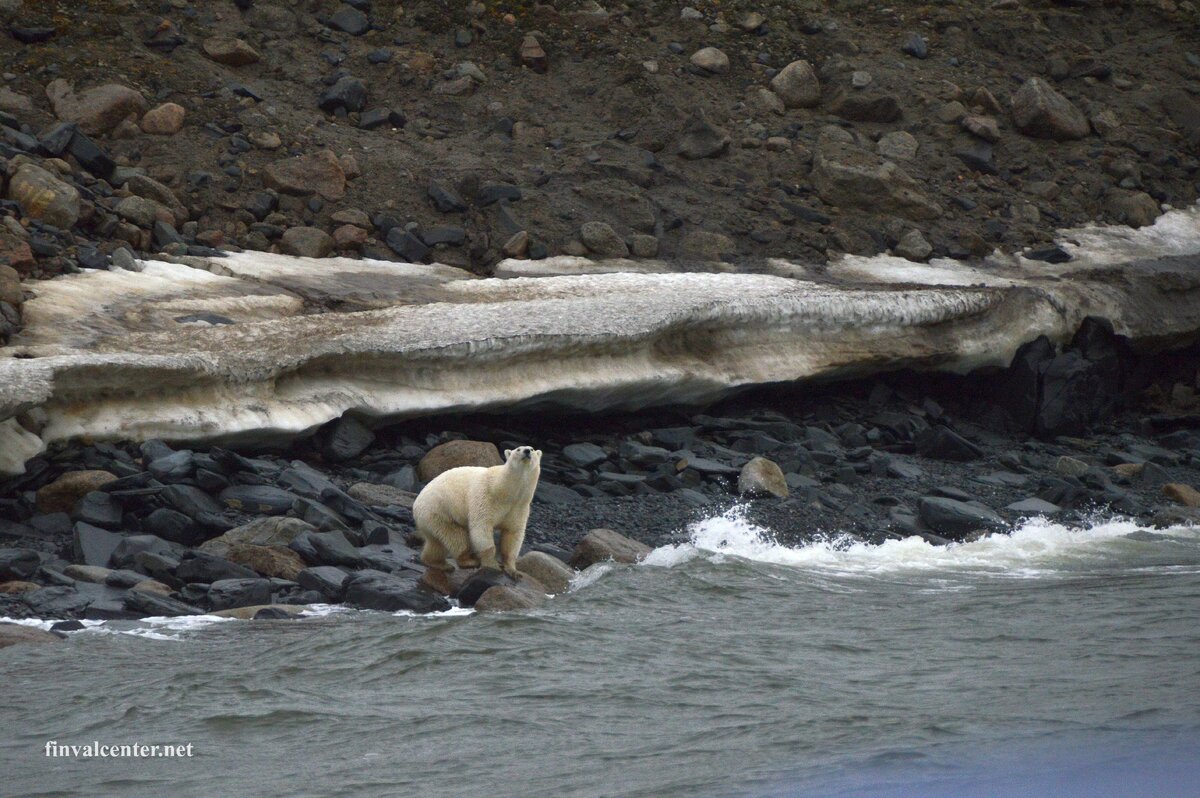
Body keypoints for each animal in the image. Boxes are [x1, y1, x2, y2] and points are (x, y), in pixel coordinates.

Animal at [412, 445, 541, 578]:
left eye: (532, 449)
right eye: (518, 449)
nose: (527, 451)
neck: (505, 492)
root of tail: (416, 504)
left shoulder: (519, 507)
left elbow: (513, 533)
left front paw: (513, 570)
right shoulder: (486, 497)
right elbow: (481, 528)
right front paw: (492, 564)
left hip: (431, 518)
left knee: (436, 543)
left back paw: (437, 563)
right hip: (438, 511)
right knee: (456, 537)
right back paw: (468, 561)